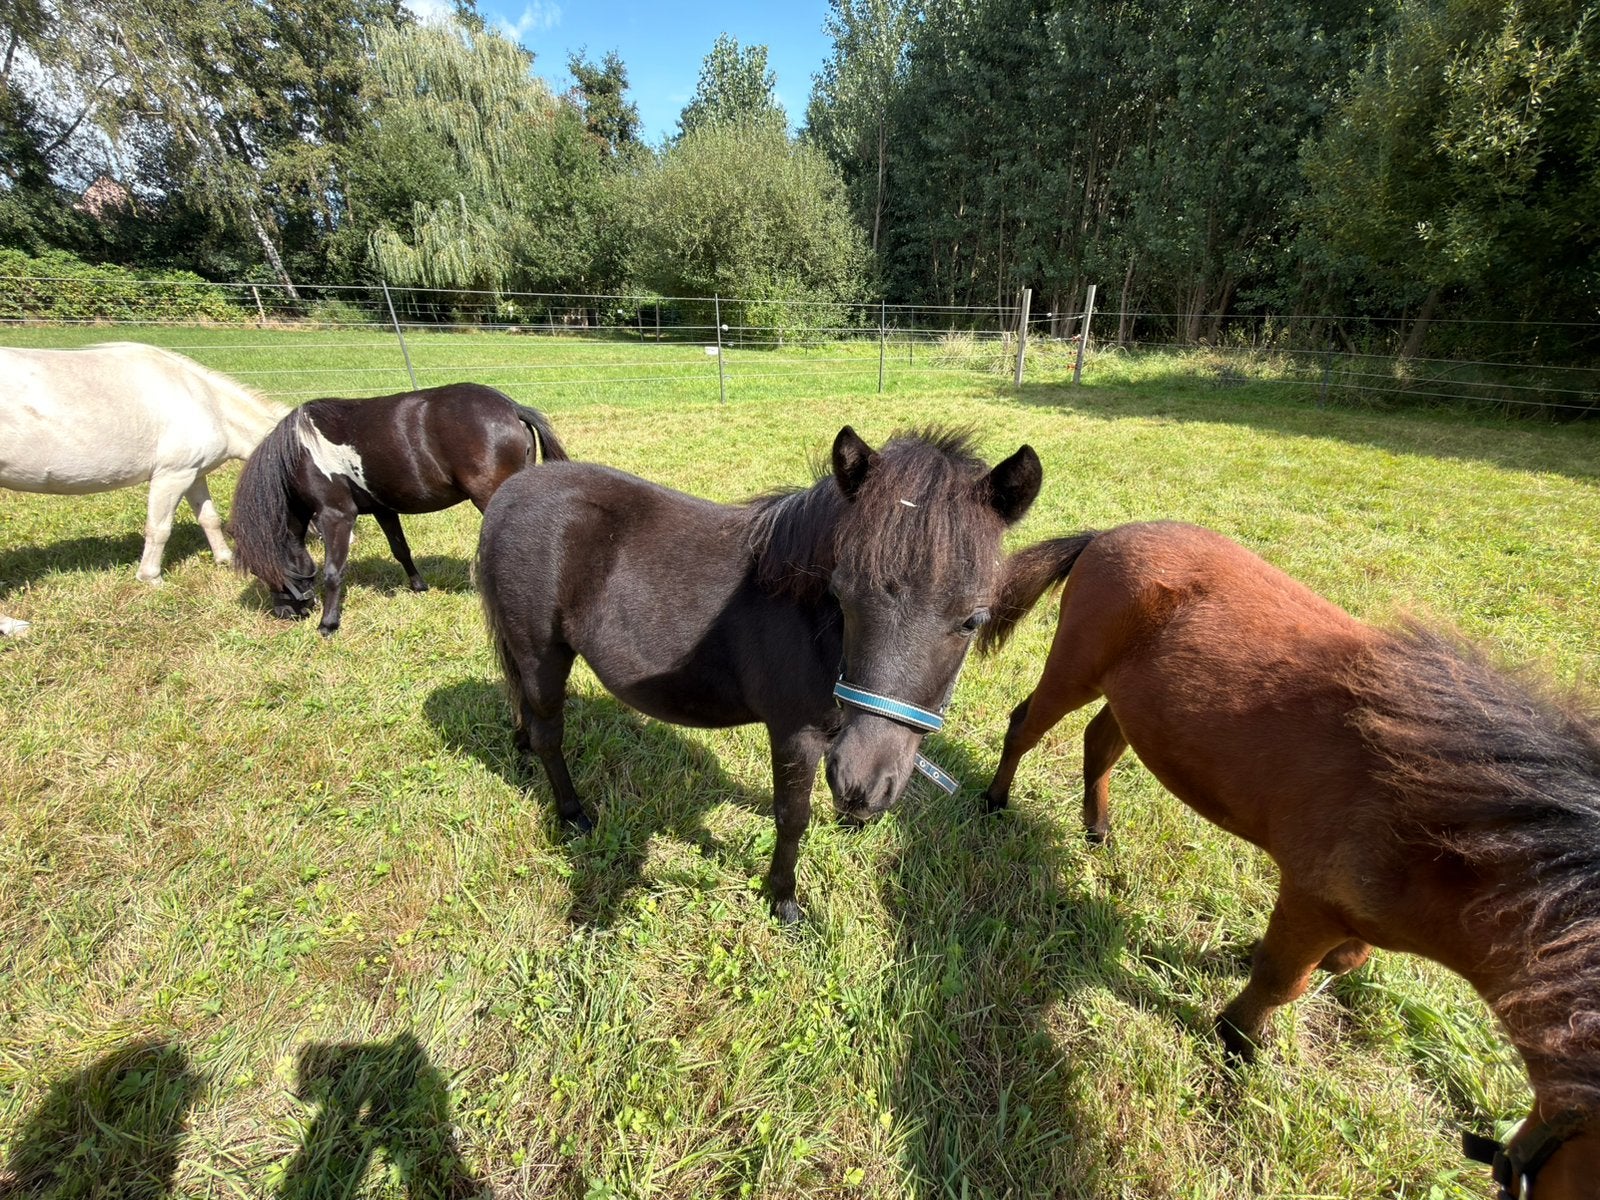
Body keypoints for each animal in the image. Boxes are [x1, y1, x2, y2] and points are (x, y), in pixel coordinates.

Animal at [0, 342, 287, 633]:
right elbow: (159, 530)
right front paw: (151, 579)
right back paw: (13, 627)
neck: (207, 404)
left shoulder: (194, 475)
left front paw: (224, 559)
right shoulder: (171, 476)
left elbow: (210, 519)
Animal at [229, 382, 567, 636]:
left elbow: (333, 571)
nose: (284, 612)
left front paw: (328, 623)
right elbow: (400, 549)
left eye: (260, 571)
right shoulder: (383, 509)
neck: (299, 452)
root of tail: (511, 407)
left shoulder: (335, 515)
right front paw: (418, 587)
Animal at [476, 426, 1041, 923]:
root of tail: (509, 493)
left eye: (973, 620)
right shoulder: (795, 734)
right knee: (549, 732)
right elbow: (792, 818)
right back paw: (573, 814)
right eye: (842, 595)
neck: (812, 622)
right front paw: (784, 901)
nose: (861, 786)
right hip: (542, 655)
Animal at [977, 520, 1600, 1199]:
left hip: (1128, 700)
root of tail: (1111, 533)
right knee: (1025, 726)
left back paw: (1099, 831)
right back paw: (995, 801)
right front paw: (1239, 1043)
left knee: (1101, 742)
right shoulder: (1312, 896)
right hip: (1075, 672)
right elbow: (1282, 977)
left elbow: (1340, 960)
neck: (1425, 816)